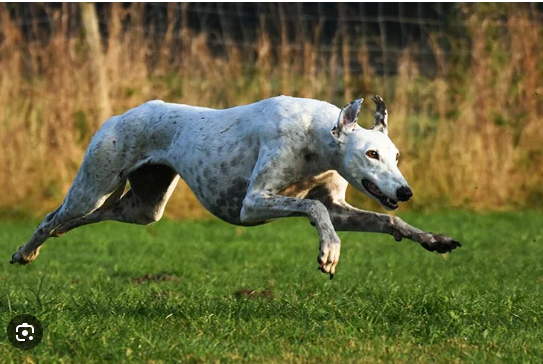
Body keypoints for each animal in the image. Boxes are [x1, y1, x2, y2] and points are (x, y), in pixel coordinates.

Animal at [10, 95, 462, 278]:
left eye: (396, 156)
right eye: (371, 154)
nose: (405, 193)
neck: (317, 138)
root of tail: (123, 114)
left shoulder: (340, 208)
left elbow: (386, 223)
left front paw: (433, 239)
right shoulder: (254, 204)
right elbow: (314, 211)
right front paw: (329, 251)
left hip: (141, 208)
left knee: (83, 218)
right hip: (94, 186)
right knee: (52, 216)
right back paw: (24, 252)